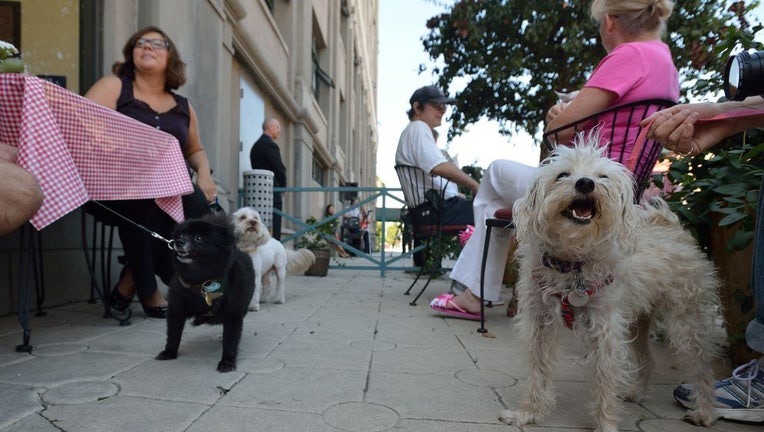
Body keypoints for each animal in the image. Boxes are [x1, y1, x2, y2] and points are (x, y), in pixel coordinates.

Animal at [156, 214, 256, 372]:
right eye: (181, 235)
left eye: (199, 238)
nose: (178, 242)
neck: (201, 282)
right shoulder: (175, 311)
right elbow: (173, 334)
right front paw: (169, 352)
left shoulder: (233, 315)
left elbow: (230, 340)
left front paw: (227, 361)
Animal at [502, 138, 724, 432]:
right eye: (562, 175)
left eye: (602, 177)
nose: (585, 183)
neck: (574, 264)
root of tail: (674, 228)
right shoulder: (540, 324)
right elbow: (538, 371)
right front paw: (528, 414)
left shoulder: (606, 330)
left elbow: (605, 380)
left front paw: (605, 424)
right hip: (637, 322)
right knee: (648, 359)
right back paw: (637, 393)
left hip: (685, 323)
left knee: (702, 368)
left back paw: (705, 412)